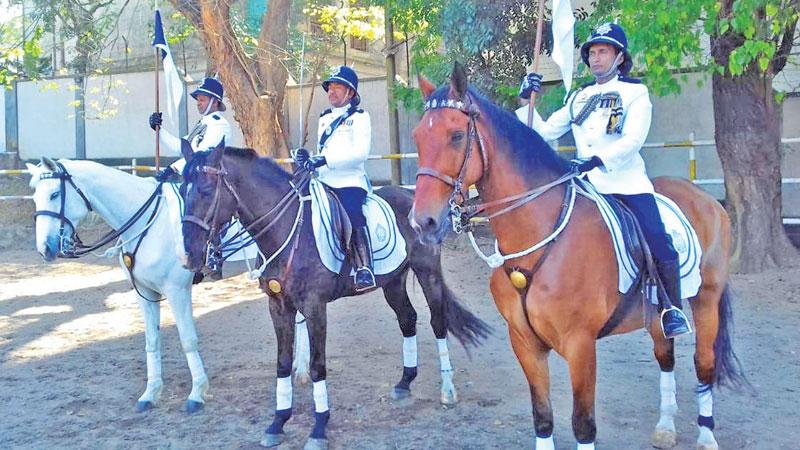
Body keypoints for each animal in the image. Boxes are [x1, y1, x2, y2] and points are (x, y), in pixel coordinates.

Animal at [27, 156, 209, 414]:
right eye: (35, 198)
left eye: (54, 194)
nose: (45, 249)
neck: (147, 222)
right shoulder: (144, 292)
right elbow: (151, 341)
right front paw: (150, 393)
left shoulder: (177, 291)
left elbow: (188, 339)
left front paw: (197, 393)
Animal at [180, 142, 490, 450]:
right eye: (181, 190)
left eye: (205, 190)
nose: (189, 257)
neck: (287, 229)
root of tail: (412, 196)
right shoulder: (278, 306)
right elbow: (282, 363)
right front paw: (278, 422)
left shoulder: (314, 306)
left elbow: (318, 366)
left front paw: (318, 429)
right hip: (393, 281)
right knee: (408, 319)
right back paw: (404, 382)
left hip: (428, 272)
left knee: (437, 323)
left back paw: (447, 389)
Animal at [410, 64, 748, 450]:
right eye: (418, 137)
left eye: (455, 135)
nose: (423, 222)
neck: (540, 237)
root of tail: (704, 197)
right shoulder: (524, 342)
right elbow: (542, 416)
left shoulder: (580, 345)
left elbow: (583, 423)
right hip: (657, 311)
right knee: (666, 355)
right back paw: (665, 427)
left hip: (707, 299)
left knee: (703, 362)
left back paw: (706, 434)